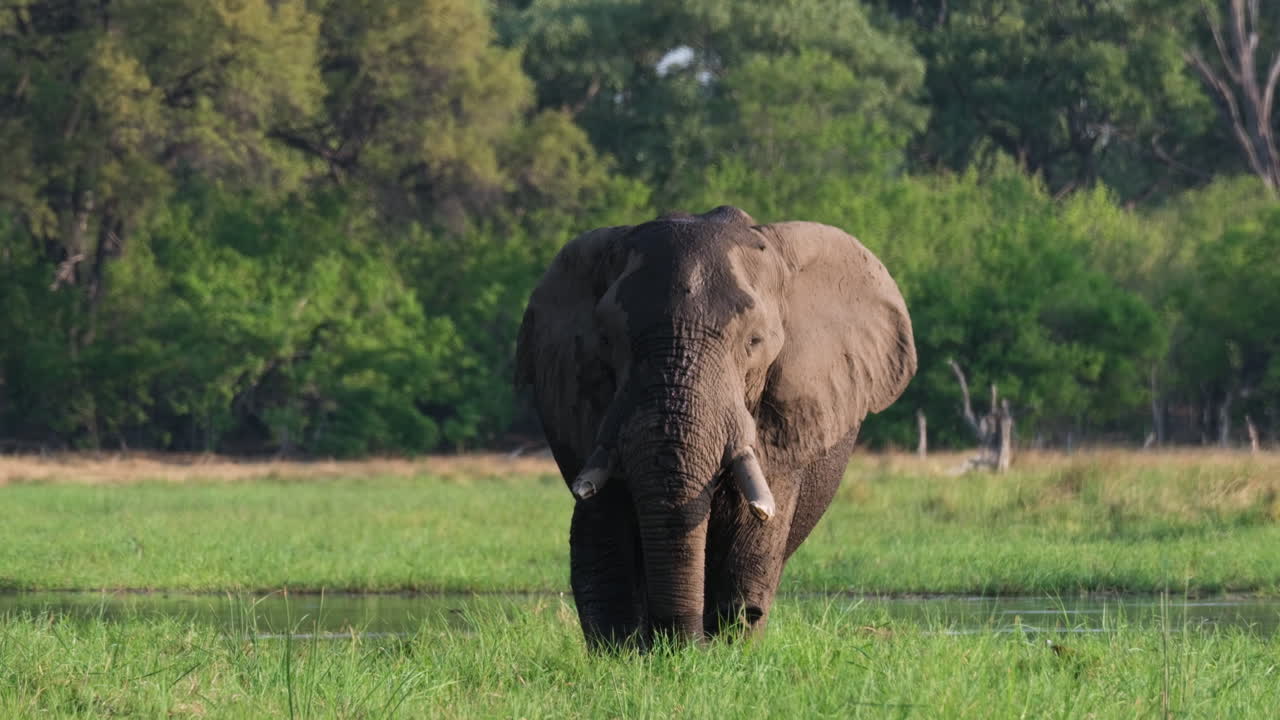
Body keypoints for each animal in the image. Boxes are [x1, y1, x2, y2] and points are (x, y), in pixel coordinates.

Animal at [515, 206, 916, 648]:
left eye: (754, 341)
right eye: (606, 340)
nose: (677, 645)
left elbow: (753, 527)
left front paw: (728, 646)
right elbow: (602, 527)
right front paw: (623, 653)